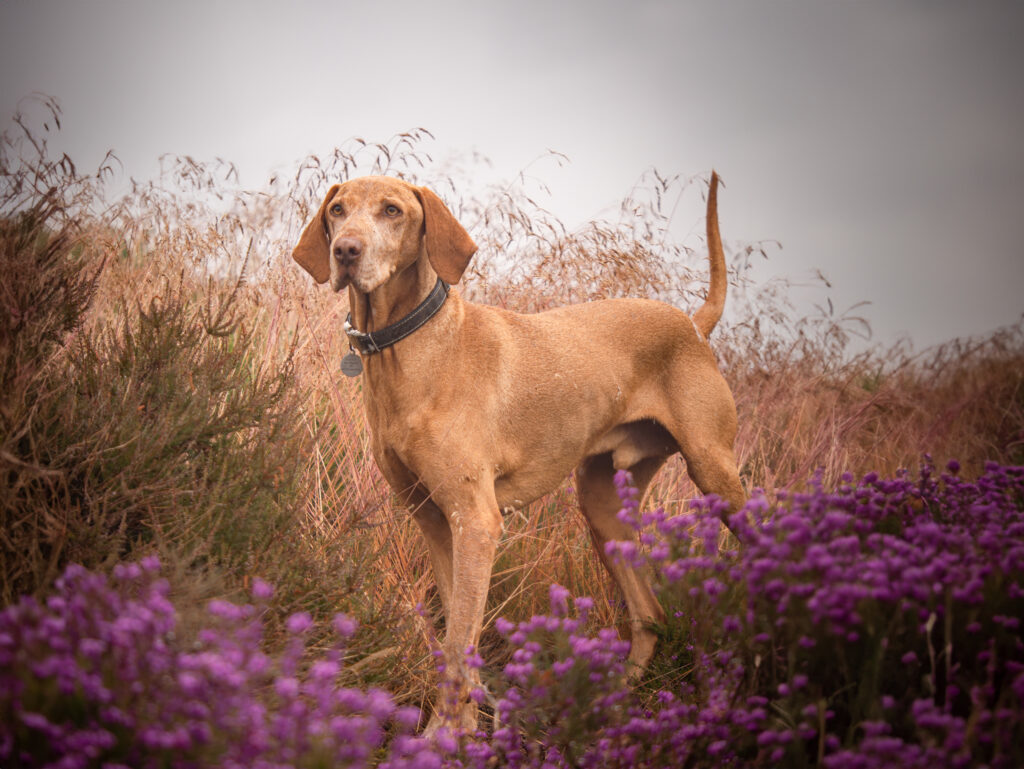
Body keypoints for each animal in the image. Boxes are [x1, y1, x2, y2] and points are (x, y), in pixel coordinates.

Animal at [292, 173, 749, 733]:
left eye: (392, 210)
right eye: (337, 209)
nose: (346, 251)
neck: (410, 350)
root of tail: (692, 324)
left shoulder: (476, 521)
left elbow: (458, 639)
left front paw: (440, 735)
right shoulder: (435, 521)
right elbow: (458, 636)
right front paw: (466, 730)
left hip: (714, 471)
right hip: (602, 506)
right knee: (650, 615)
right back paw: (612, 707)